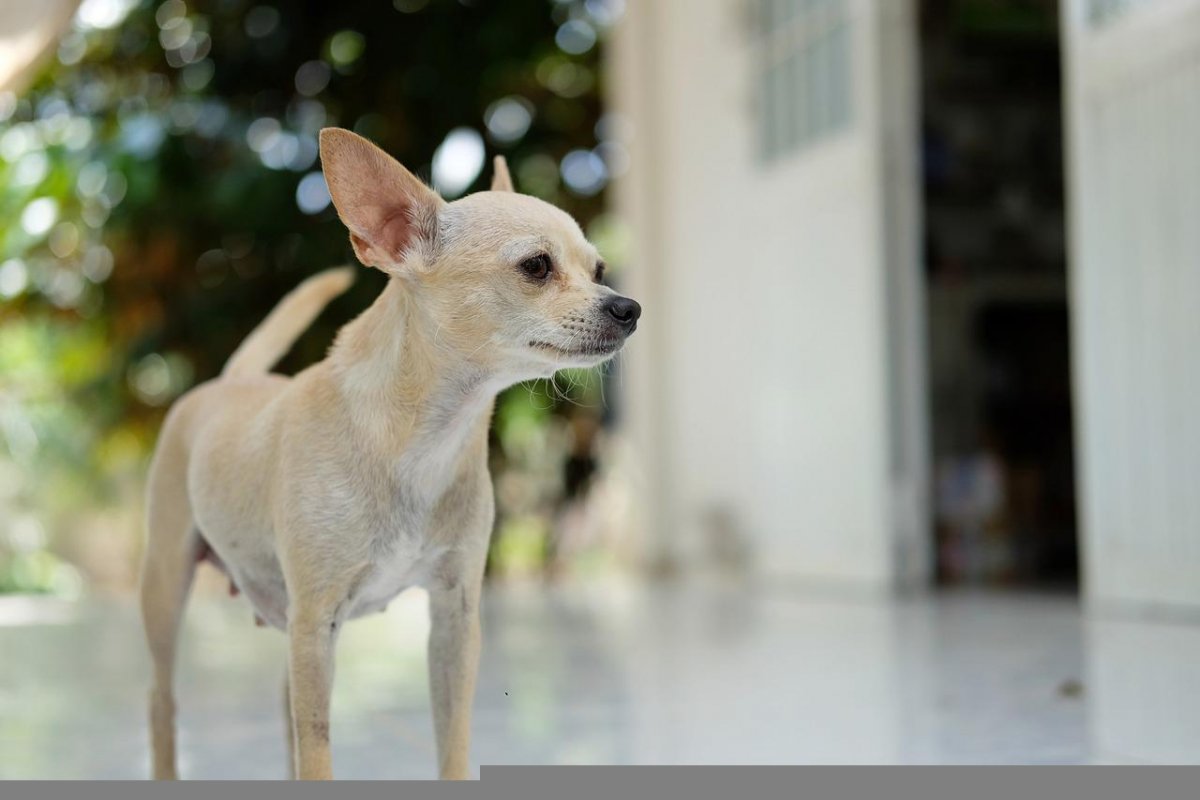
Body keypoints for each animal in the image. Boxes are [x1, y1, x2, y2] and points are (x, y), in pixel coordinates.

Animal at [137, 128, 643, 777]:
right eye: (536, 266)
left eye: (599, 270)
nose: (627, 307)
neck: (425, 438)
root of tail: (233, 379)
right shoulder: (317, 622)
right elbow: (320, 755)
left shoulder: (453, 619)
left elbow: (450, 741)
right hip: (169, 590)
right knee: (162, 705)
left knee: (285, 710)